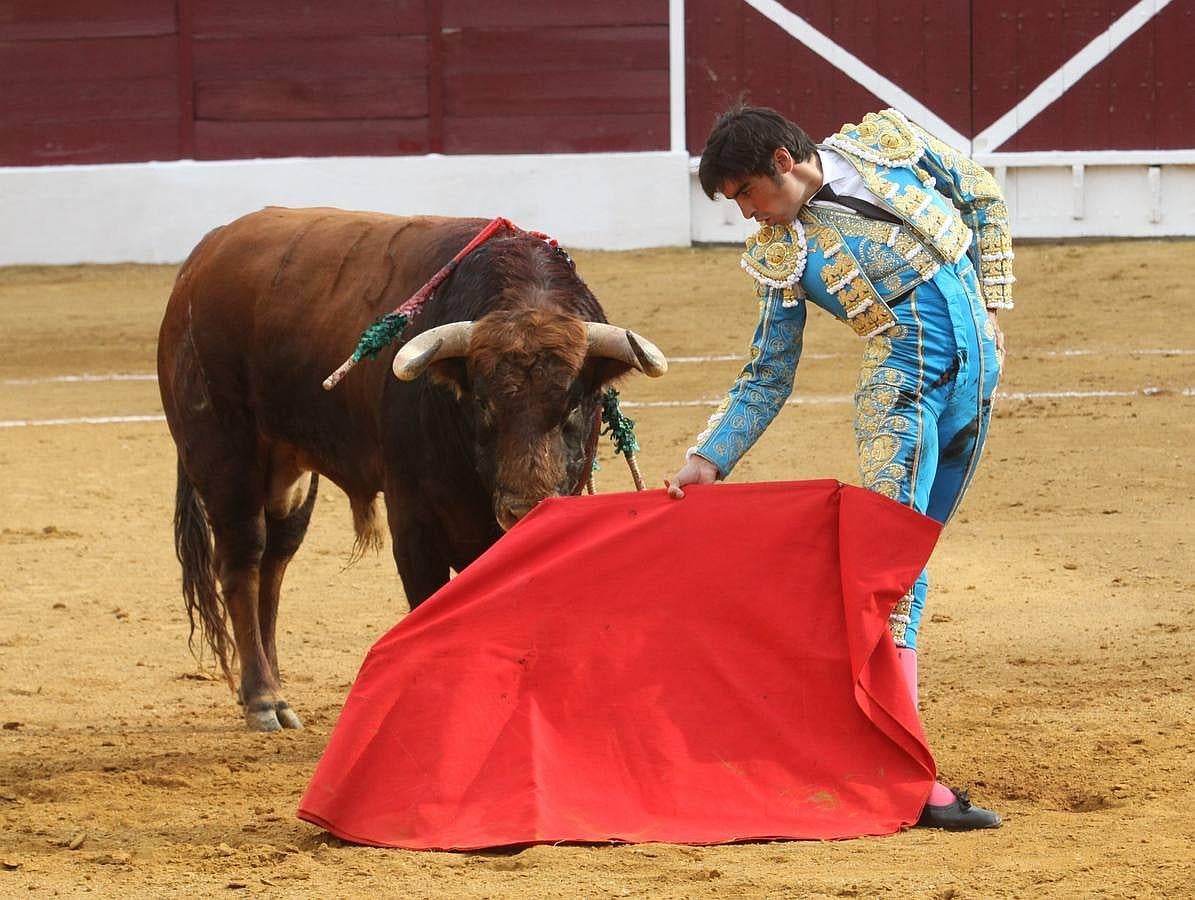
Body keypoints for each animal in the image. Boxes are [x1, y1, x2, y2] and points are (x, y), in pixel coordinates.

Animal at [154, 209, 669, 731]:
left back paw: (273, 691)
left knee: (275, 562)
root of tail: (200, 260)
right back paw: (262, 698)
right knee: (244, 560)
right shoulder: (413, 523)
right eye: (483, 404)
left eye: (575, 405)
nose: (525, 508)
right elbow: (430, 605)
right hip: (224, 457)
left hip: (289, 469)